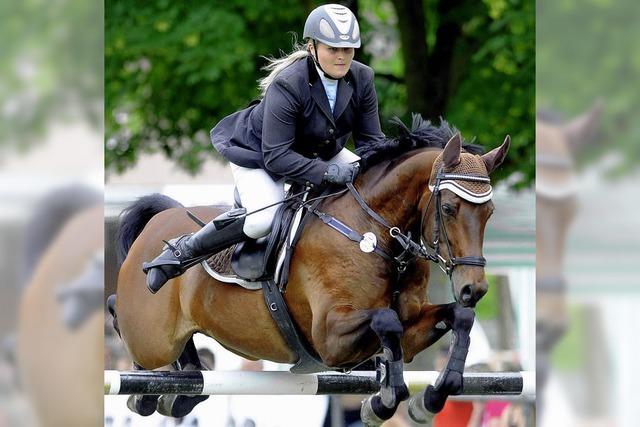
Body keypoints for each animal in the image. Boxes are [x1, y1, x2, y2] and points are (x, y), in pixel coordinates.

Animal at [111, 118, 510, 424]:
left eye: (489, 213)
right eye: (448, 208)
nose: (475, 289)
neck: (374, 230)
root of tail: (162, 217)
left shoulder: (410, 331)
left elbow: (458, 319)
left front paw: (428, 399)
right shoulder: (329, 338)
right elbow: (387, 321)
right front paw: (385, 400)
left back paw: (183, 391)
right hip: (151, 338)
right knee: (121, 314)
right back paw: (146, 383)